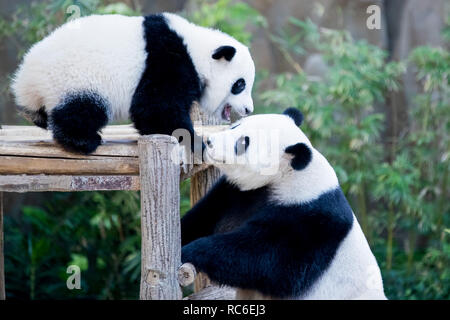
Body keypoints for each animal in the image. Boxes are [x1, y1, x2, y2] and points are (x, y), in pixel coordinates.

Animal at [10, 14, 255, 154]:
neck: (197, 50)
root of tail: (26, 78)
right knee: (81, 110)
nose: (248, 109)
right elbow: (155, 109)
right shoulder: (166, 59)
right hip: (76, 78)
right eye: (240, 84)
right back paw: (83, 141)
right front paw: (196, 142)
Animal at [181, 109, 384, 298]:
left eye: (243, 143)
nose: (209, 142)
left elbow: (264, 259)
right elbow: (203, 218)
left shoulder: (310, 220)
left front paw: (190, 251)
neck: (286, 177)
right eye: (235, 126)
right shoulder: (238, 193)